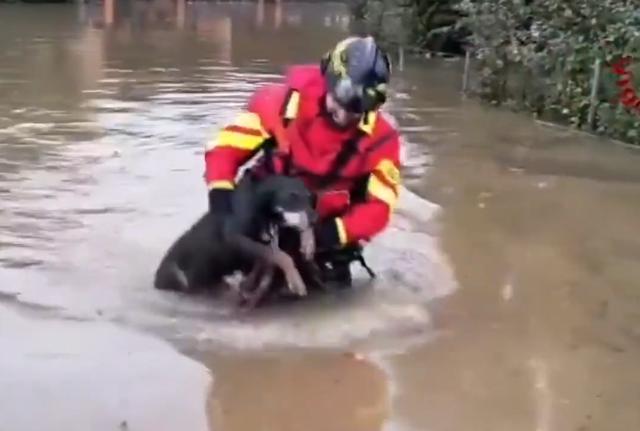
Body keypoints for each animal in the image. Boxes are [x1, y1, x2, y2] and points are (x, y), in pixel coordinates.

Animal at [155, 173, 320, 308]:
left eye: (309, 197)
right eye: (292, 197)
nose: (315, 219)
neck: (261, 207)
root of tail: (156, 281)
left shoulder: (266, 242)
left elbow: (267, 261)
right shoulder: (236, 238)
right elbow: (281, 256)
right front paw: (295, 281)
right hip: (179, 276)